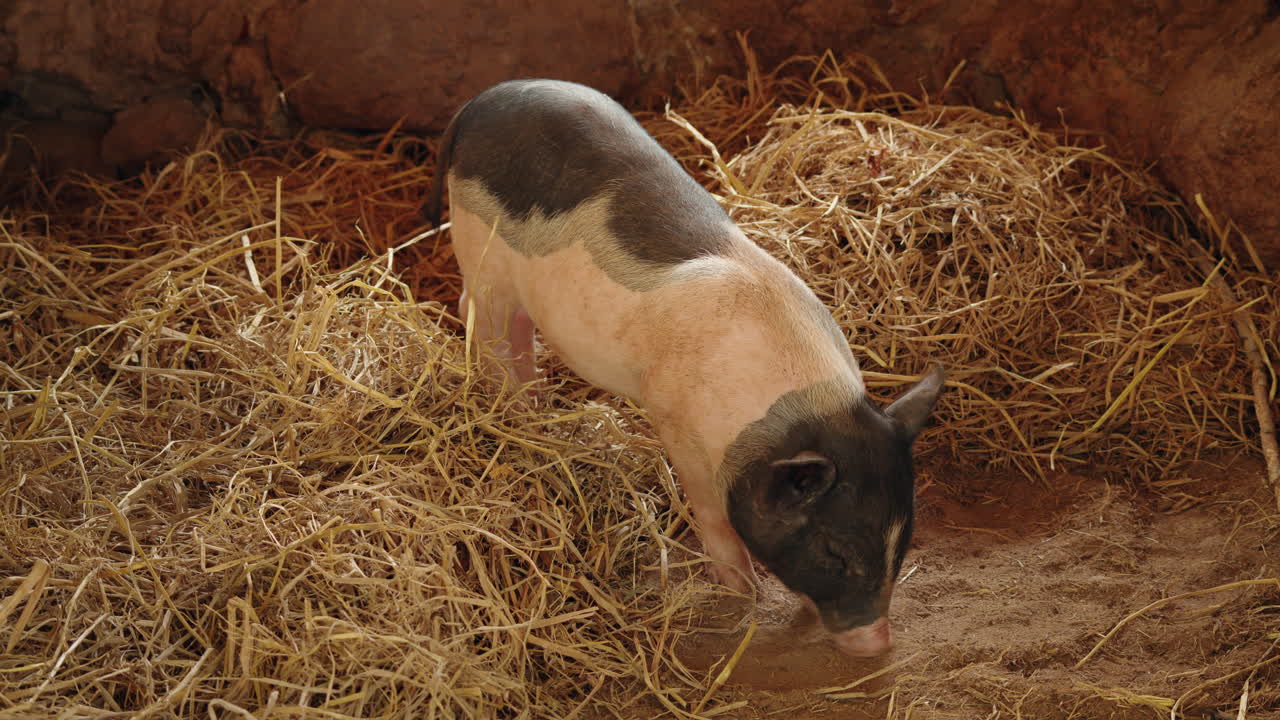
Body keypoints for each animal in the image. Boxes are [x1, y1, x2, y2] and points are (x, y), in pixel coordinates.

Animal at [423, 79, 944, 657]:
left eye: (904, 537)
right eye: (834, 551)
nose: (878, 644)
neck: (794, 404)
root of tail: (485, 99)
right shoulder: (678, 427)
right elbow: (713, 517)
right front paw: (743, 595)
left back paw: (533, 407)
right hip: (480, 249)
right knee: (478, 314)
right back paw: (511, 405)